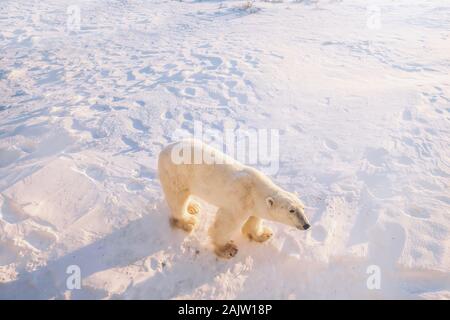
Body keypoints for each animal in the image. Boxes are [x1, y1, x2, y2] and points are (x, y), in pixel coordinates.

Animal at [157, 139, 310, 258]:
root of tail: (164, 150)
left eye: (303, 208)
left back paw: (193, 206)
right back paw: (188, 220)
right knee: (177, 198)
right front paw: (227, 249)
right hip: (176, 174)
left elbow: (254, 220)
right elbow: (225, 224)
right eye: (291, 210)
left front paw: (264, 234)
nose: (306, 225)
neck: (255, 190)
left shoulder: (254, 206)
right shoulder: (239, 202)